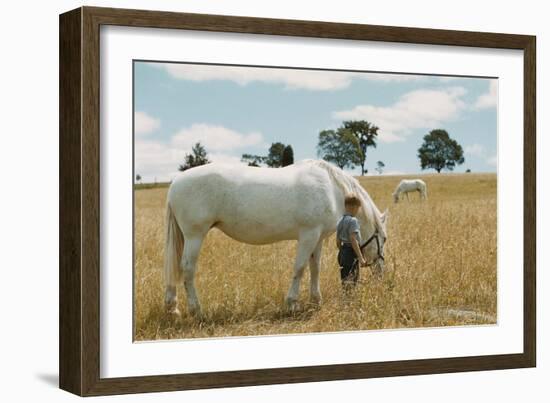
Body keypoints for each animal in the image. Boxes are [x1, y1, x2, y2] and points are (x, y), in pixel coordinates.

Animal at [163, 159, 388, 318]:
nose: (381, 272)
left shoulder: (317, 238)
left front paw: (316, 300)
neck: (332, 189)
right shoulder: (308, 235)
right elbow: (300, 268)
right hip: (195, 235)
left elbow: (315, 268)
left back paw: (172, 308)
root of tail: (175, 183)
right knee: (187, 268)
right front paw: (292, 303)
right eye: (384, 238)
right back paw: (196, 311)